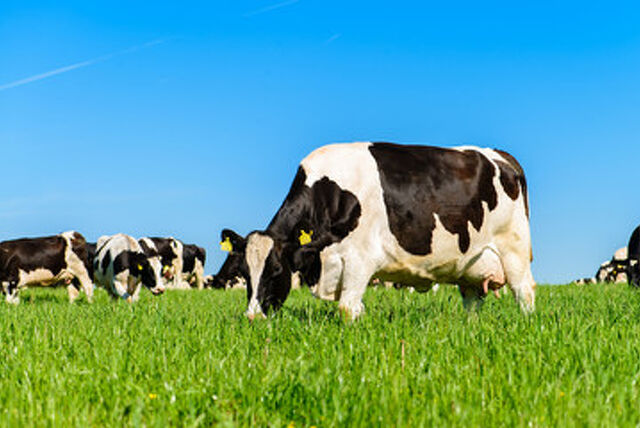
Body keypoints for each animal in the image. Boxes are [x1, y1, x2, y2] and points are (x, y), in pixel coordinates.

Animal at [215, 142, 535, 320]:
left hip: (514, 249)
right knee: (472, 302)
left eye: (276, 271)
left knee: (524, 292)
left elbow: (347, 309)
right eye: (245, 274)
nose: (253, 317)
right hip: (470, 265)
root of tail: (500, 155)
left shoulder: (360, 258)